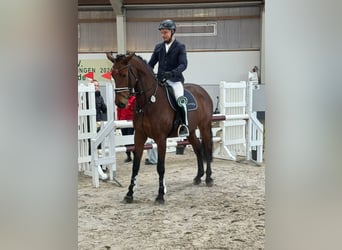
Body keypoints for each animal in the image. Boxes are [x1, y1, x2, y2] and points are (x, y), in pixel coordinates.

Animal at [107, 52, 214, 203]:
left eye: (123, 75)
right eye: (112, 75)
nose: (120, 103)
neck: (149, 101)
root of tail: (202, 91)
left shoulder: (161, 139)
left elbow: (160, 167)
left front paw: (160, 195)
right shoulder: (139, 136)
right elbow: (135, 166)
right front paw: (129, 194)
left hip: (204, 126)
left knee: (208, 149)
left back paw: (209, 178)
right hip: (191, 131)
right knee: (198, 149)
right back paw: (198, 177)